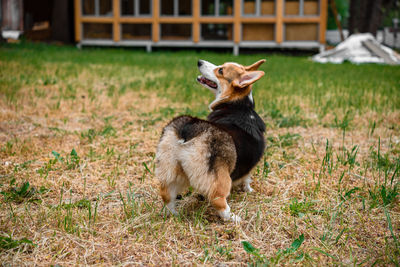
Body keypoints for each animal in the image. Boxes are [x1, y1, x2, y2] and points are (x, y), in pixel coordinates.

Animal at [155, 59, 266, 223]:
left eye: (220, 71)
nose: (199, 61)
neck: (238, 105)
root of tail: (189, 128)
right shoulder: (249, 167)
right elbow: (247, 178)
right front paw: (249, 190)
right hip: (220, 179)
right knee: (217, 200)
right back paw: (234, 218)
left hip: (170, 168)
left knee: (166, 194)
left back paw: (173, 214)